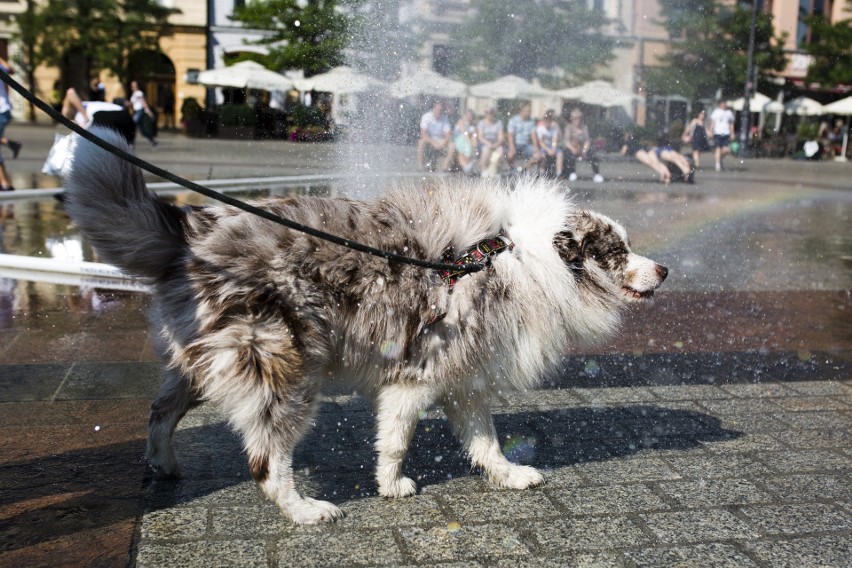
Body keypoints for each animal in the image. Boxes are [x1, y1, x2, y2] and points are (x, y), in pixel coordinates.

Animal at [66, 127, 664, 524]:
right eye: (617, 251)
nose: (663, 270)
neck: (516, 259)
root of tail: (190, 238)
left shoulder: (463, 379)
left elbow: (485, 440)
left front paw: (508, 475)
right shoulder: (416, 377)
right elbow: (396, 439)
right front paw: (392, 485)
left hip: (200, 365)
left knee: (159, 411)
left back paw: (163, 464)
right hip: (286, 372)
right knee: (267, 459)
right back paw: (305, 510)